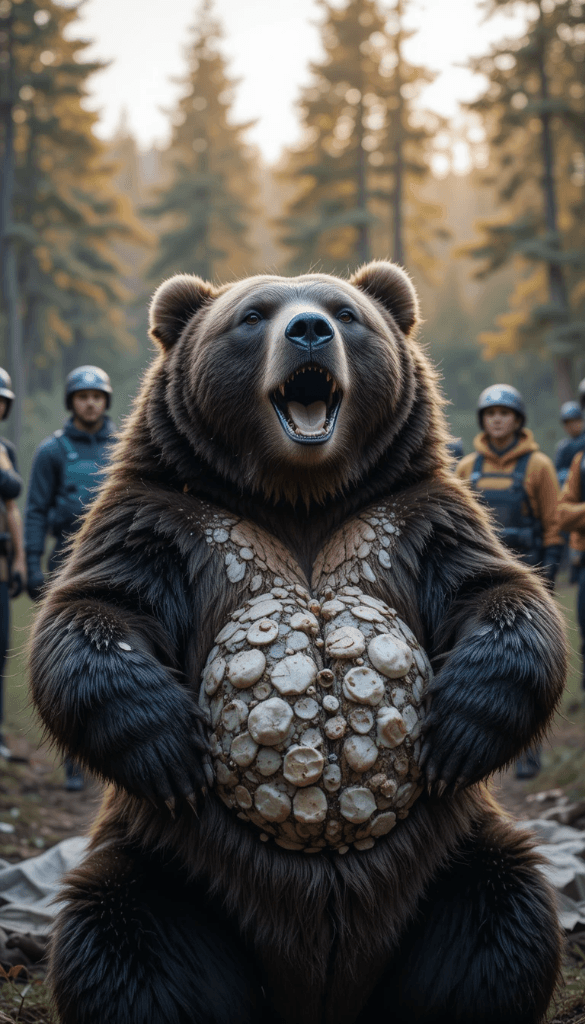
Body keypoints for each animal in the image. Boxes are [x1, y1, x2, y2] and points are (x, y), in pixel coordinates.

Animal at [29, 261, 567, 1024]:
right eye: (253, 315)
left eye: (345, 312)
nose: (307, 329)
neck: (300, 497)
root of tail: (319, 997)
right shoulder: (167, 523)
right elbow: (93, 612)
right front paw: (166, 746)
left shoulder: (413, 519)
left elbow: (500, 595)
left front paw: (461, 727)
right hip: (173, 870)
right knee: (126, 944)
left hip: (448, 859)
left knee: (499, 921)